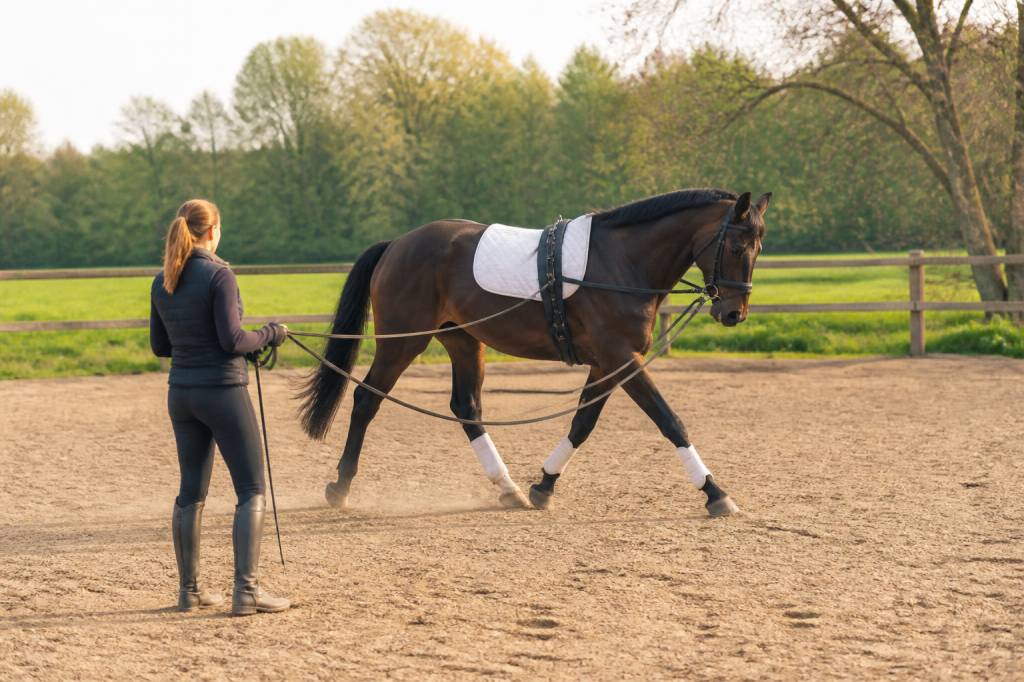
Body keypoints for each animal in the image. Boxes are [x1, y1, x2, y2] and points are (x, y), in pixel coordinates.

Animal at [296, 188, 770, 517]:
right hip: (403, 340)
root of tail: (397, 244)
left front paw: (544, 485)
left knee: (466, 408)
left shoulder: (605, 363)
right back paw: (340, 487)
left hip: (463, 341)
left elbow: (582, 424)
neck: (621, 263)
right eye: (736, 247)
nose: (734, 313)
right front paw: (715, 492)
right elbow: (668, 420)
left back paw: (508, 488)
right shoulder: (621, 358)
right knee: (366, 399)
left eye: (759, 248)